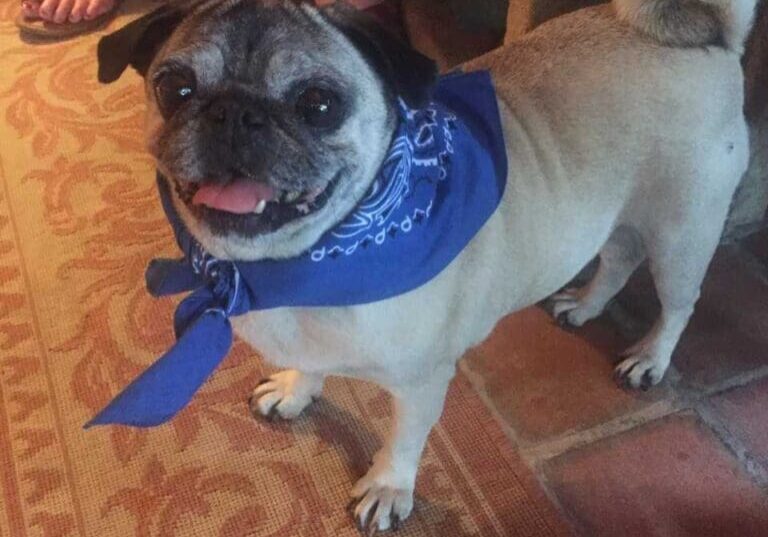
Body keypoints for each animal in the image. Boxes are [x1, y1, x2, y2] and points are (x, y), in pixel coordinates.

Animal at [97, 0, 756, 528]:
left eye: (319, 104)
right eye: (175, 89)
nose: (233, 113)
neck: (295, 265)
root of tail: (710, 38)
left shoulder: (420, 383)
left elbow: (403, 440)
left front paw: (388, 488)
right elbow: (312, 366)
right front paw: (295, 389)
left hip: (682, 231)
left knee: (678, 304)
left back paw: (649, 357)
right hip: (611, 218)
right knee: (617, 258)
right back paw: (585, 305)